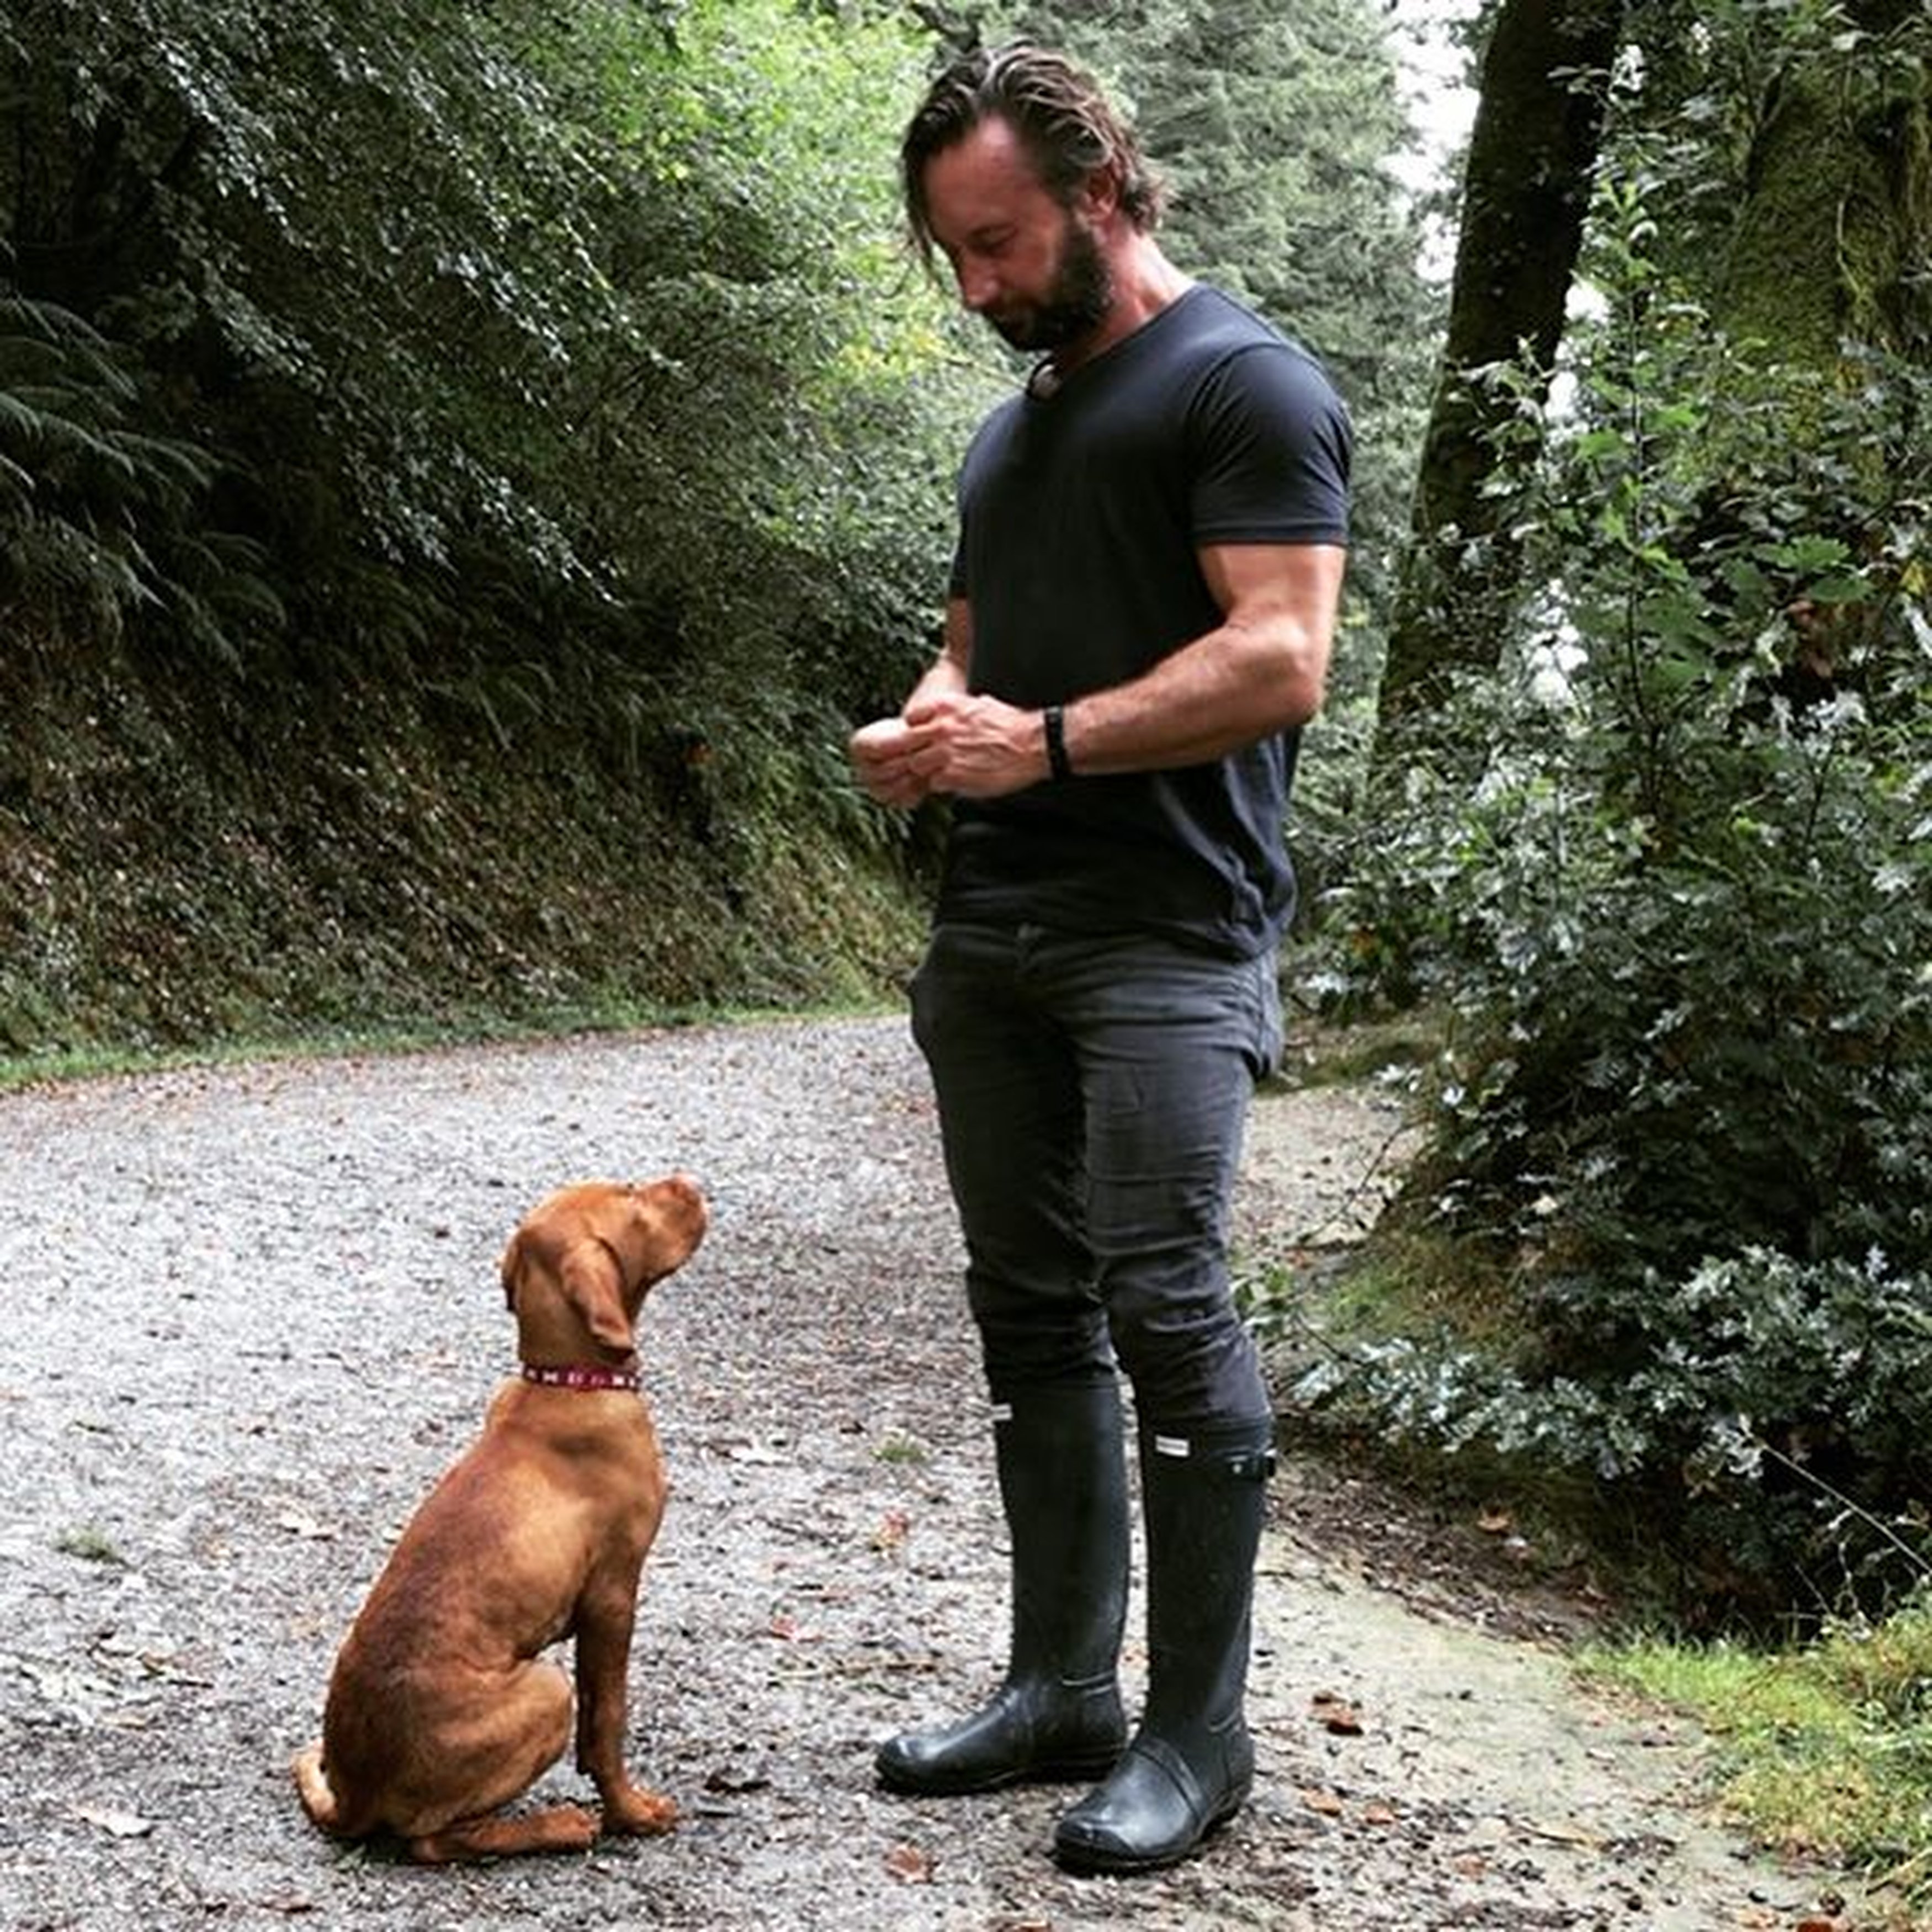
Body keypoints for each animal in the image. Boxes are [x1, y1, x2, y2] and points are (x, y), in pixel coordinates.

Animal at [292, 1175, 707, 1863]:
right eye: (631, 1194)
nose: (691, 1182)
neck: (565, 1382)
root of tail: (353, 1797)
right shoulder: (613, 1594)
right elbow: (607, 1722)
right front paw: (630, 1811)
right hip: (545, 1687)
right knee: (431, 1840)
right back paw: (557, 1826)